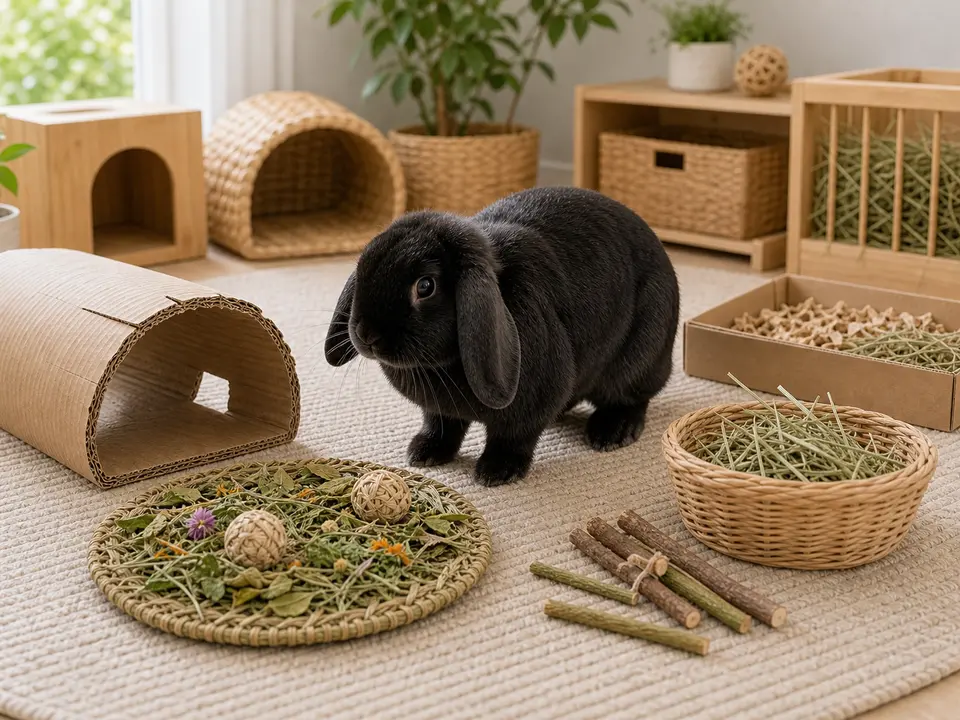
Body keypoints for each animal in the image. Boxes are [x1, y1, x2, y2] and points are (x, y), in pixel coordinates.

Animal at [324, 186, 681, 486]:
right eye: (363, 266)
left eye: (425, 286)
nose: (366, 334)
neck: (438, 366)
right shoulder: (439, 412)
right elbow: (440, 424)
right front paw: (424, 453)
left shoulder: (526, 410)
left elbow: (513, 436)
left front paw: (497, 472)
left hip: (639, 358)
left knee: (632, 397)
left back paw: (613, 432)